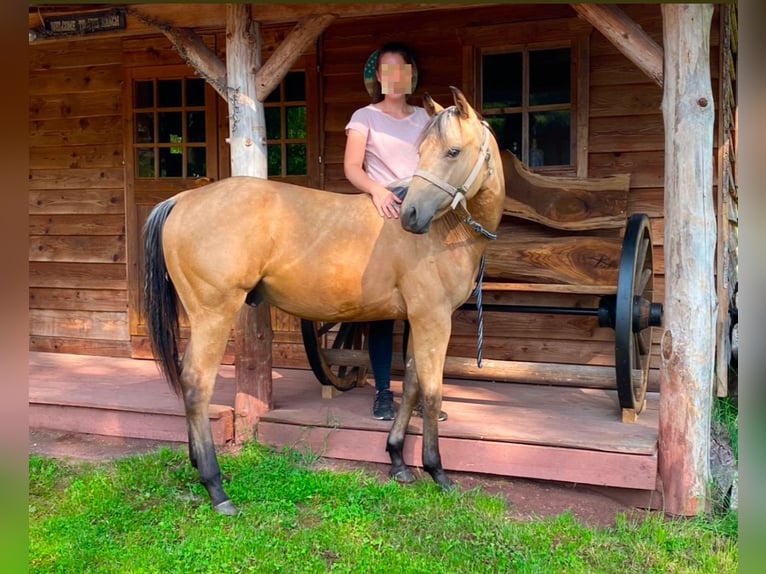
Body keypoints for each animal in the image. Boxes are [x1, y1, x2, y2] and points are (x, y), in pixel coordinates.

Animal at [144, 86, 508, 516]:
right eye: (426, 152)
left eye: (451, 151)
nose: (411, 216)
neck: (444, 231)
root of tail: (183, 200)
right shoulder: (433, 320)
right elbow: (432, 393)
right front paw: (437, 472)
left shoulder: (419, 321)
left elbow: (412, 385)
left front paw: (398, 460)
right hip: (214, 314)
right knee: (197, 383)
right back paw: (215, 486)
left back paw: (197, 465)